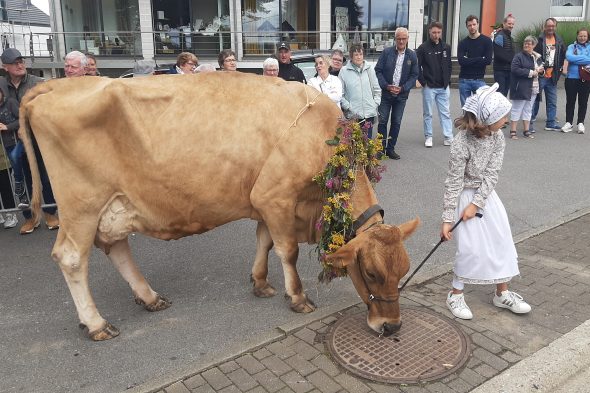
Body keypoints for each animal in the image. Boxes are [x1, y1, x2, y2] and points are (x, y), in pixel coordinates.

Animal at [19, 72, 420, 340]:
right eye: (371, 273)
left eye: (403, 270)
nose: (390, 326)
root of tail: (56, 85)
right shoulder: (276, 196)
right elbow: (287, 251)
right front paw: (297, 297)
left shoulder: (264, 201)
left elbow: (264, 241)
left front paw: (259, 282)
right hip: (82, 206)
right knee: (72, 257)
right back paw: (96, 323)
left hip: (114, 204)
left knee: (116, 247)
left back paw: (149, 297)